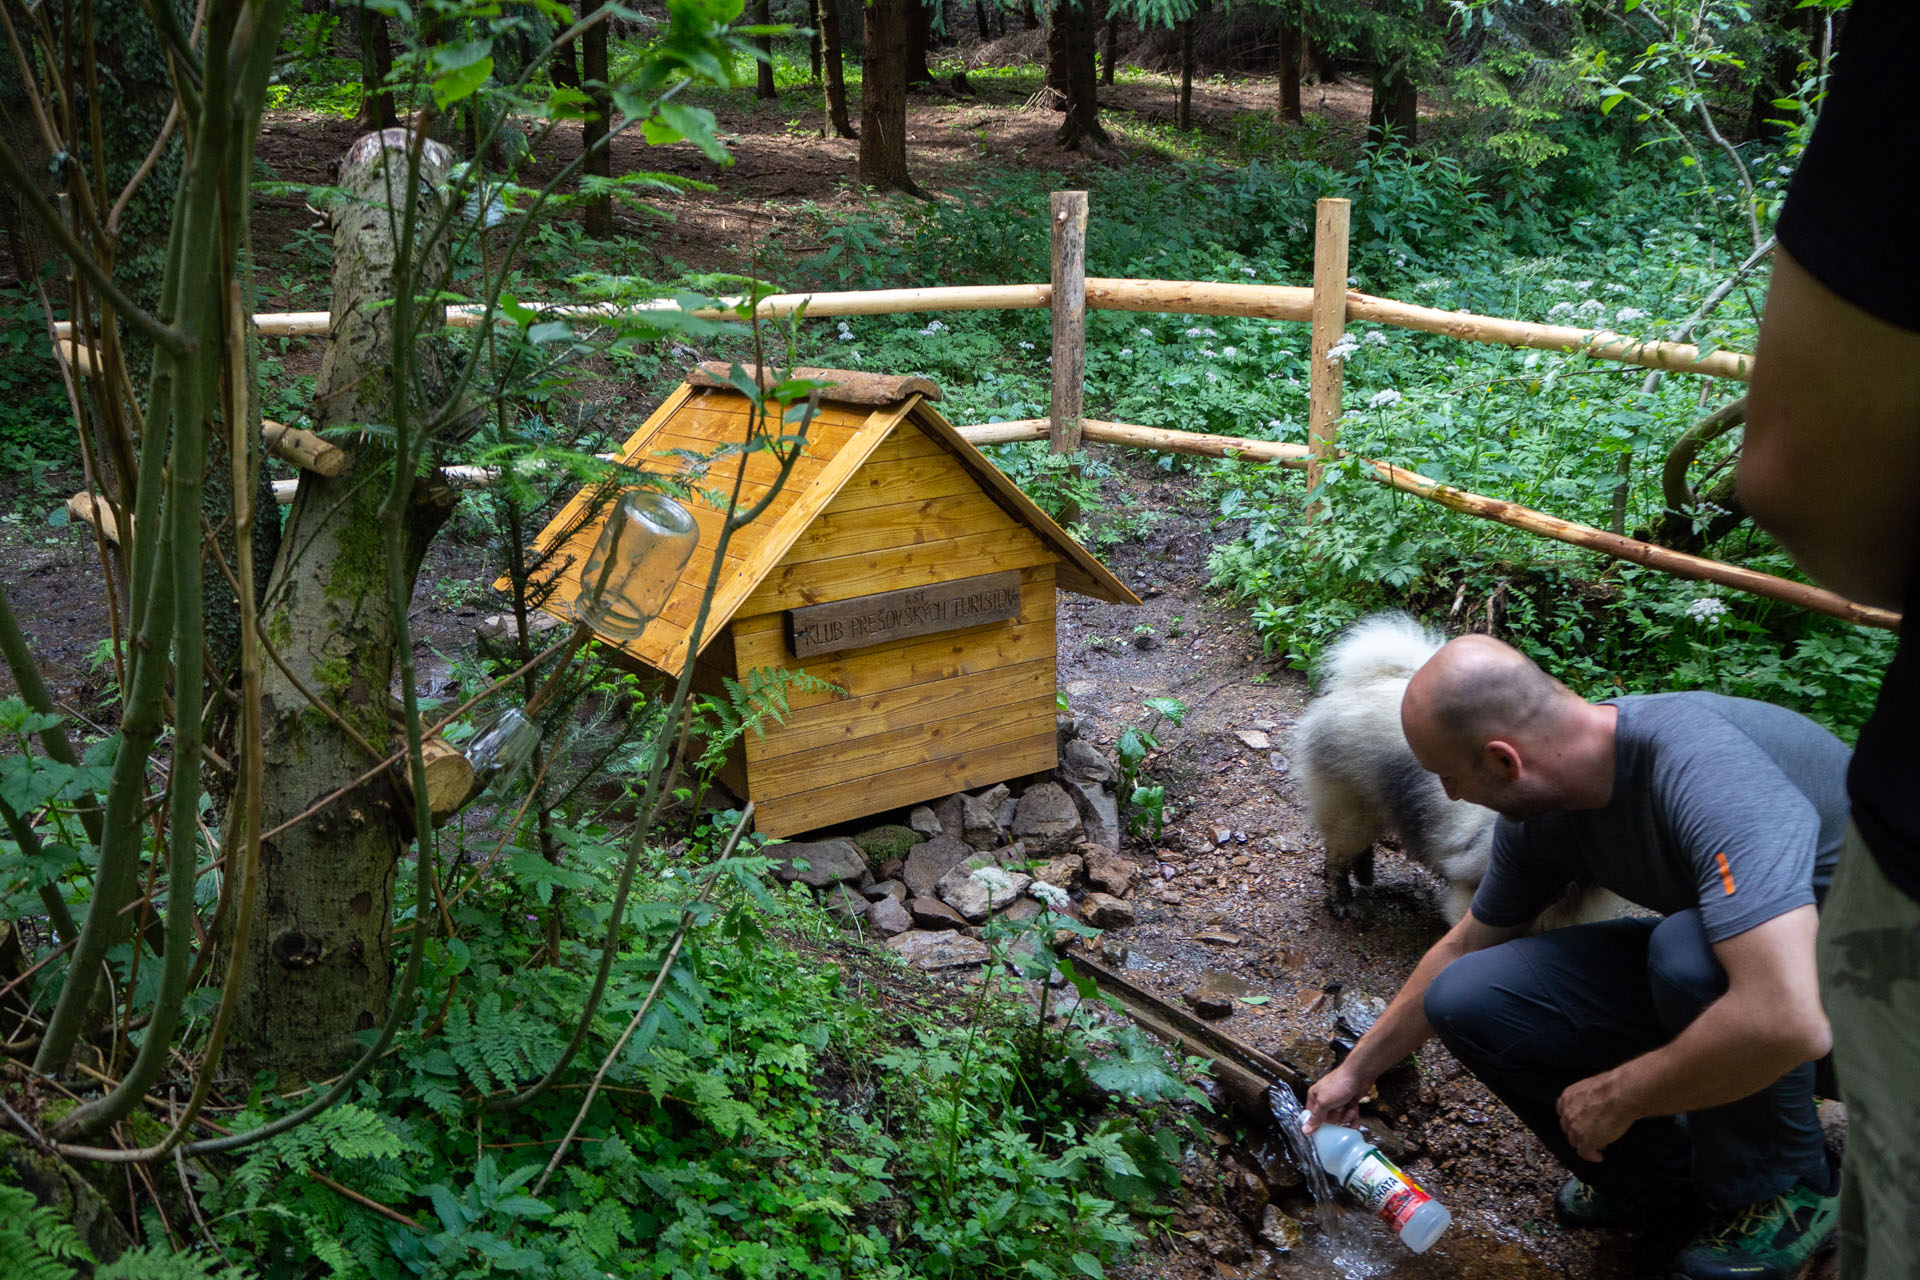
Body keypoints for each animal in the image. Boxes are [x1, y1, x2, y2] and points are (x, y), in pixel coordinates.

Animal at [1290, 614, 1620, 932]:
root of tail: (1367, 683)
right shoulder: (1474, 893)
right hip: (1350, 807)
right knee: (1336, 860)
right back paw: (1344, 903)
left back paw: (1365, 873)